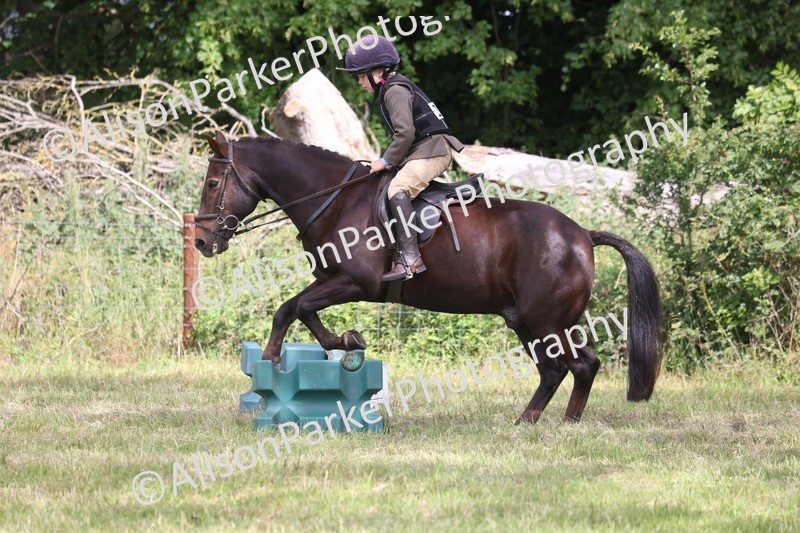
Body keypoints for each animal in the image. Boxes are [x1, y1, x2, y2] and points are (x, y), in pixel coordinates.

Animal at [194, 132, 665, 423]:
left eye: (213, 182)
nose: (201, 241)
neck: (333, 199)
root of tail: (583, 234)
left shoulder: (355, 283)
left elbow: (295, 307)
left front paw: (281, 355)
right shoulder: (332, 280)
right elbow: (297, 310)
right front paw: (344, 344)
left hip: (548, 320)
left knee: (580, 365)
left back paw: (564, 424)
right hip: (526, 321)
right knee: (555, 370)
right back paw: (529, 421)